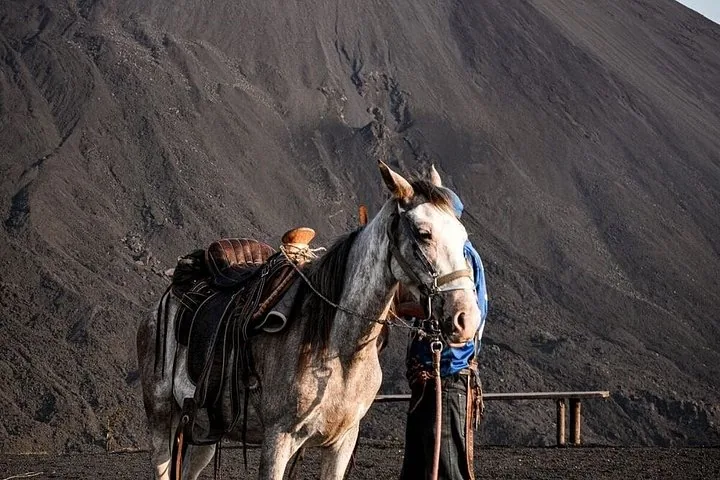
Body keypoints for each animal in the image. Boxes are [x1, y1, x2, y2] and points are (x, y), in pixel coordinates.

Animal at [136, 161, 482, 479]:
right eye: (424, 234)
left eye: (462, 237)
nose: (467, 318)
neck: (337, 348)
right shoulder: (277, 440)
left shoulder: (342, 443)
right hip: (161, 419)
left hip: (205, 429)